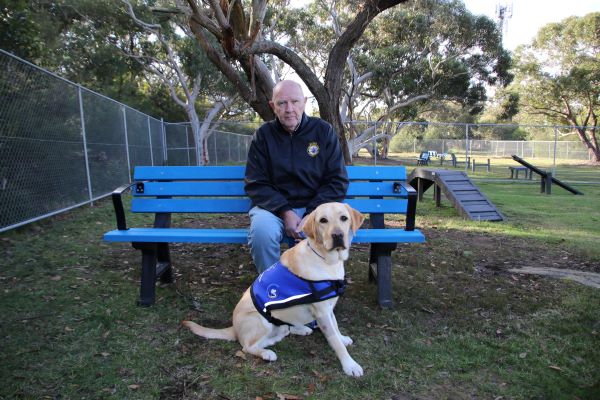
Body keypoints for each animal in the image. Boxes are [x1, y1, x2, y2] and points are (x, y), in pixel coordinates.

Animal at [182, 203, 366, 378]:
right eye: (323, 220)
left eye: (344, 218)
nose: (337, 235)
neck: (326, 260)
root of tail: (234, 328)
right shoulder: (322, 312)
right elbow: (335, 341)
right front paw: (350, 365)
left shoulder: (328, 307)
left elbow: (336, 326)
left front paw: (343, 338)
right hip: (260, 321)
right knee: (247, 346)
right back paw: (266, 352)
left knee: (281, 330)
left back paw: (295, 331)